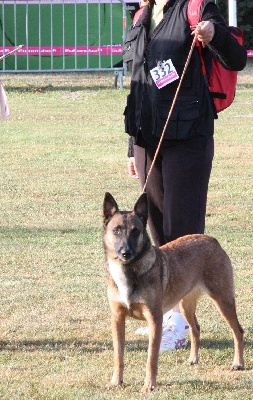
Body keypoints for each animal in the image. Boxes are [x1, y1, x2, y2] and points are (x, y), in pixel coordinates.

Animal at [102, 192, 244, 392]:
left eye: (136, 231)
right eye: (116, 230)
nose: (125, 253)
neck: (129, 272)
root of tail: (212, 240)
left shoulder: (155, 320)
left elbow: (151, 358)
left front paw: (149, 385)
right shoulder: (117, 319)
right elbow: (118, 356)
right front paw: (116, 381)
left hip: (223, 300)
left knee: (238, 331)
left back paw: (238, 363)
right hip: (186, 305)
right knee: (196, 329)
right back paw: (193, 359)